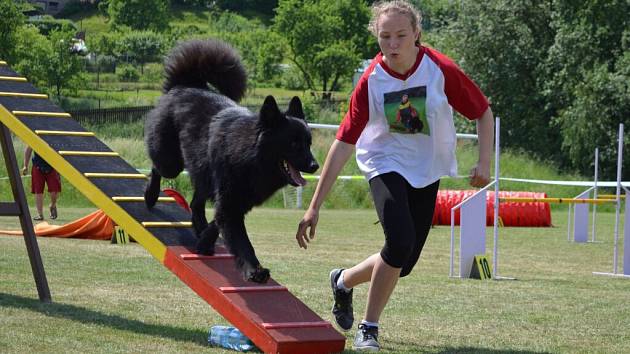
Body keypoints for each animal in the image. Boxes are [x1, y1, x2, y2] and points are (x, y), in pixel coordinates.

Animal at [144, 39, 320, 282]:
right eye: (293, 144)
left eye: (308, 143)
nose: (315, 166)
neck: (252, 158)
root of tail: (185, 85)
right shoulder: (230, 202)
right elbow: (241, 240)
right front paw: (255, 270)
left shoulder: (237, 202)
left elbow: (217, 223)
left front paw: (204, 242)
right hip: (171, 162)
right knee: (157, 168)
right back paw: (150, 195)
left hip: (202, 172)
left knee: (195, 202)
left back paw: (198, 228)